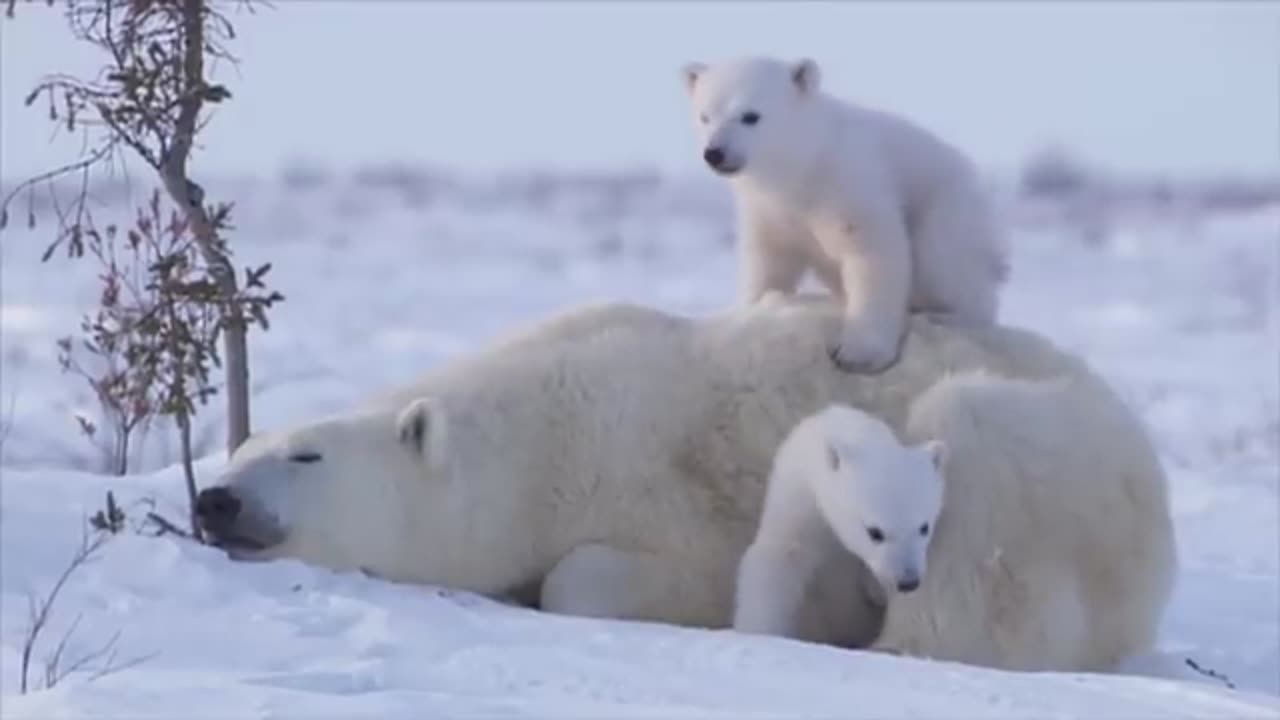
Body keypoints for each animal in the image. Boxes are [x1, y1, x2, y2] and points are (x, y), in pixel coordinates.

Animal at [197, 293, 1172, 666]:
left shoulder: (660, 485)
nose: (215, 500)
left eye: (305, 454)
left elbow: (606, 575)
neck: (542, 436)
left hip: (1050, 464)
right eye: (239, 451)